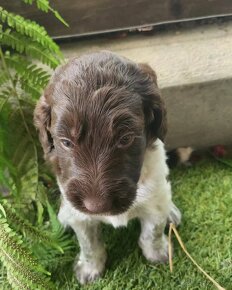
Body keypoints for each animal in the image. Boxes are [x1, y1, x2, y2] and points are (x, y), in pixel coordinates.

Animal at [33, 51, 180, 284]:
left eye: (126, 139)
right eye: (66, 142)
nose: (96, 206)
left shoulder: (155, 196)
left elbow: (153, 231)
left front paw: (158, 252)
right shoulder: (80, 214)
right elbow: (89, 244)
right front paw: (90, 268)